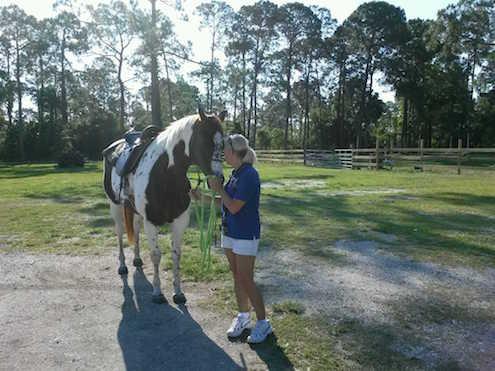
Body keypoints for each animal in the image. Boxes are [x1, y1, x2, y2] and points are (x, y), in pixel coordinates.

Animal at [103, 108, 227, 306]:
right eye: (204, 140)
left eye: (222, 143)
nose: (218, 181)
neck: (165, 175)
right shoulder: (151, 222)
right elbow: (156, 255)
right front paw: (157, 293)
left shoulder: (179, 222)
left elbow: (176, 254)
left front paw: (178, 293)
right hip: (115, 206)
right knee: (120, 232)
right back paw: (122, 266)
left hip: (135, 211)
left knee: (135, 230)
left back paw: (137, 259)